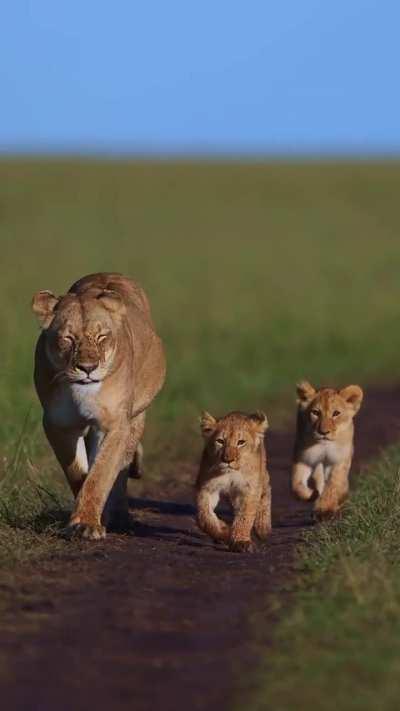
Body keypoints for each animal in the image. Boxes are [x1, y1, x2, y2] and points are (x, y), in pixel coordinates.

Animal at [32, 272, 166, 540]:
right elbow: (77, 471)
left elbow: (101, 473)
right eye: (68, 338)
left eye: (102, 337)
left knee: (122, 467)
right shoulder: (58, 424)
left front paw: (86, 523)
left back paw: (122, 515)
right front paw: (88, 516)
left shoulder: (114, 423)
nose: (88, 368)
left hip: (136, 416)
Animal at [195, 411, 271, 552]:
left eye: (241, 442)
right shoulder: (207, 487)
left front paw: (241, 541)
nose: (227, 460)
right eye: (220, 441)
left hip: (262, 474)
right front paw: (224, 532)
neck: (230, 473)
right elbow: (204, 518)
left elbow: (245, 515)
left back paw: (263, 528)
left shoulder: (249, 488)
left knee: (266, 492)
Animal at [292, 381, 363, 517]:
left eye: (336, 413)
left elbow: (333, 484)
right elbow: (295, 484)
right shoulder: (304, 457)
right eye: (315, 412)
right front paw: (312, 494)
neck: (324, 446)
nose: (323, 432)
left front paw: (324, 508)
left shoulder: (339, 460)